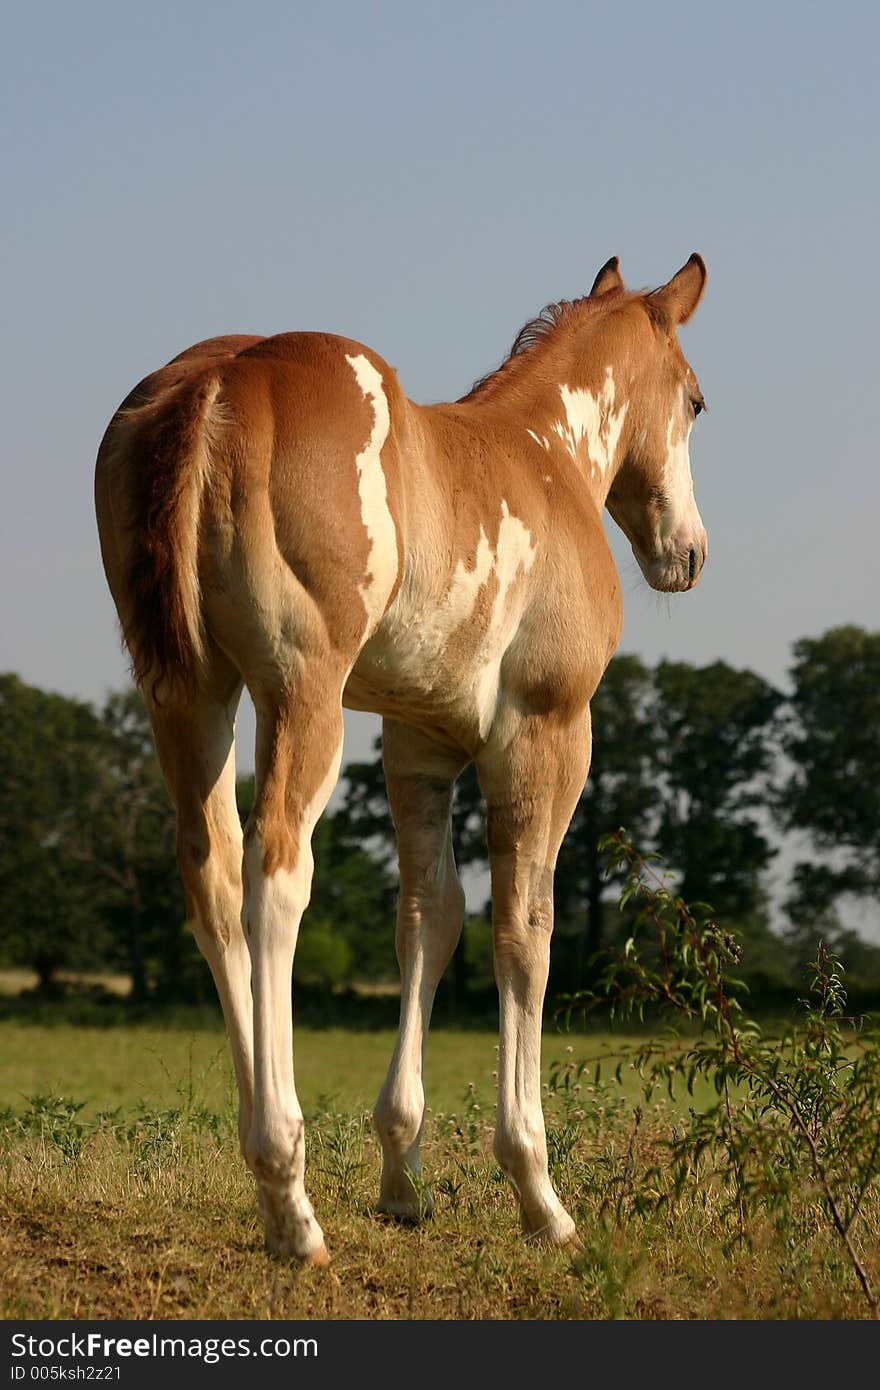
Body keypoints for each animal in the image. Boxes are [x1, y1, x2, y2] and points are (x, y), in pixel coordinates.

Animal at [94, 250, 706, 1262]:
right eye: (696, 401)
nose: (688, 554)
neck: (547, 458)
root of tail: (215, 381)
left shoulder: (420, 746)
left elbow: (430, 919)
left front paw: (401, 1176)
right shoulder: (546, 735)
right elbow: (525, 931)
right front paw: (539, 1192)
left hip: (187, 694)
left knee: (212, 877)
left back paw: (268, 1182)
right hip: (301, 693)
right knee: (276, 877)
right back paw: (290, 1195)